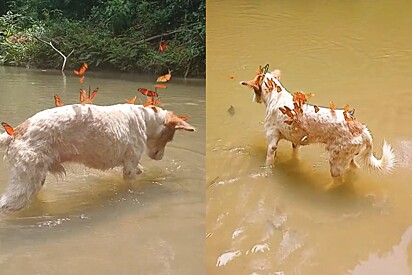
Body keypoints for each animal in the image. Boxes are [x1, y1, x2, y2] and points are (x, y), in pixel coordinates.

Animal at [0, 103, 196, 211]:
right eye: (169, 138)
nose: (159, 158)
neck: (145, 119)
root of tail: (14, 133)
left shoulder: (131, 165)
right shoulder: (130, 166)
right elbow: (133, 181)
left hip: (37, 179)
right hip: (25, 185)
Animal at [241, 70, 396, 187]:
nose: (253, 99)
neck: (276, 96)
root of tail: (362, 129)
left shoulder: (272, 144)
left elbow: (268, 165)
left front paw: (266, 175)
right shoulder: (296, 142)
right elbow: (295, 156)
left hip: (335, 163)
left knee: (338, 182)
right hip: (348, 158)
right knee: (354, 169)